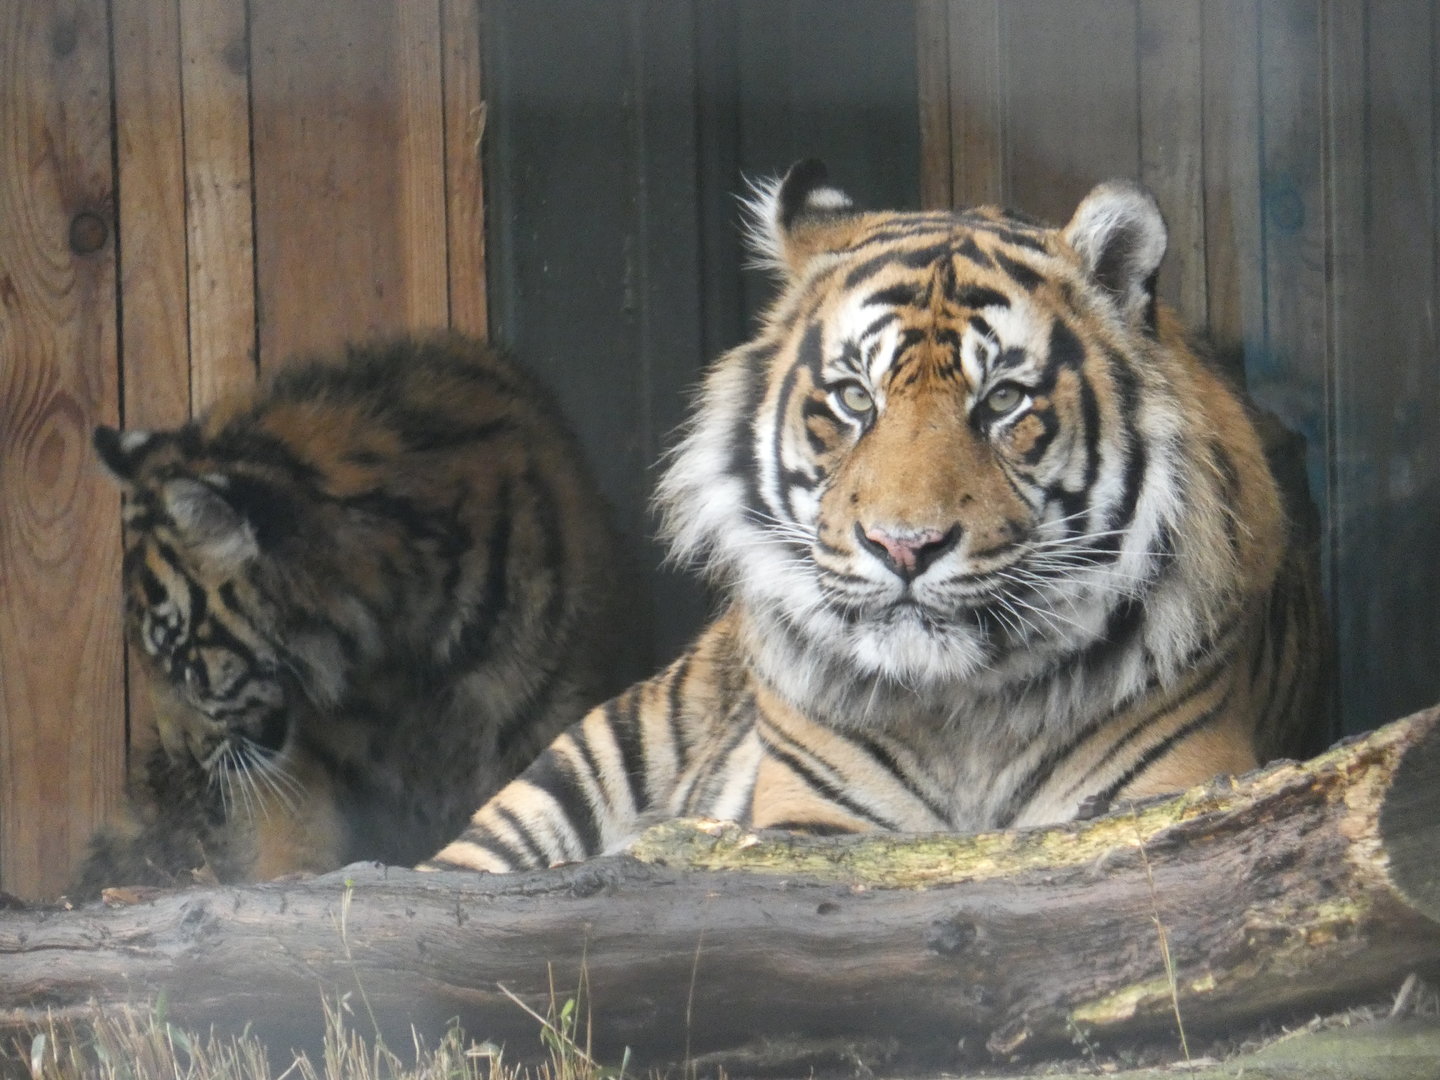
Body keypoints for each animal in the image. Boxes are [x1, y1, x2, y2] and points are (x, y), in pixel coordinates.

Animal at [425, 160, 1325, 875]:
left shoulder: (1174, 797)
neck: (965, 717)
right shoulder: (808, 827)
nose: (904, 546)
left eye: (1003, 400)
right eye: (856, 399)